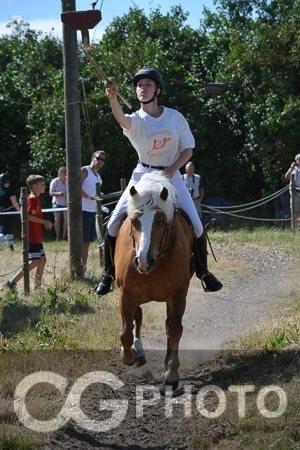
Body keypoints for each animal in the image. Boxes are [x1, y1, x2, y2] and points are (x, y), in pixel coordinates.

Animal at [113, 171, 193, 388]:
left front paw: (171, 371)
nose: (143, 260)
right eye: (134, 221)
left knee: (168, 325)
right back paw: (138, 351)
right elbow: (125, 330)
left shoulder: (178, 293)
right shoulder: (126, 293)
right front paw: (129, 355)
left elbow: (174, 328)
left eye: (161, 221)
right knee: (137, 317)